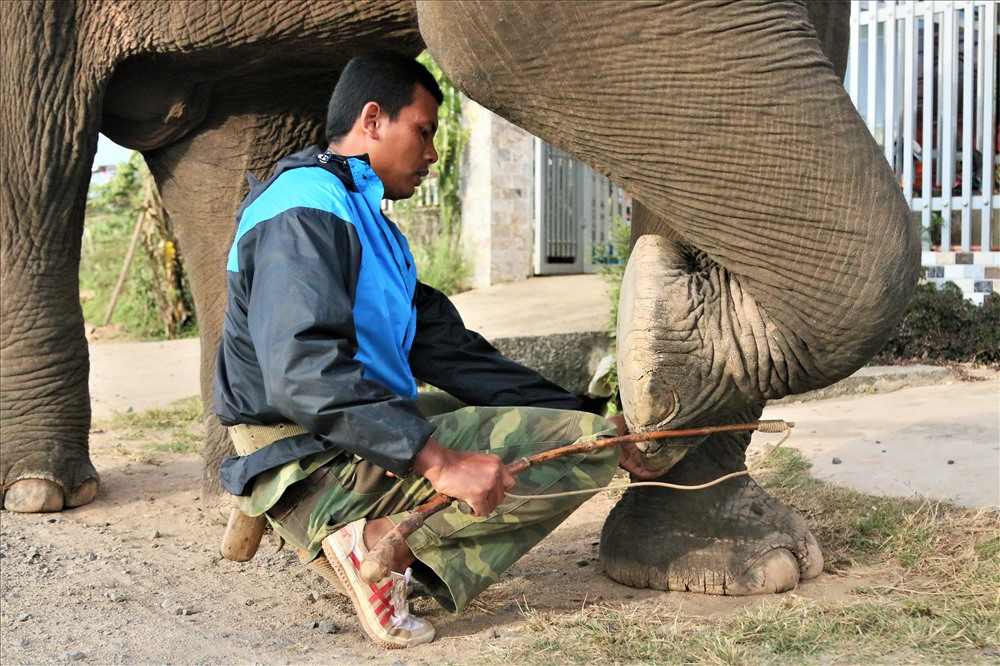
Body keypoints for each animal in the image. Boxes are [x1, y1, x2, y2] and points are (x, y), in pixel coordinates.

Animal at [1, 1, 920, 596]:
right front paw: (651, 382)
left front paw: (734, 562)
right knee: (34, 158)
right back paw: (42, 492)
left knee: (236, 128)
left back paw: (235, 493)